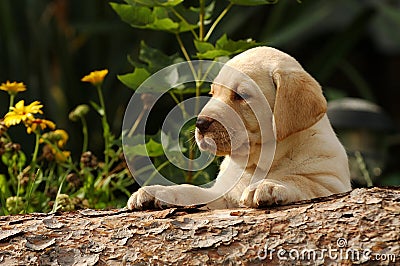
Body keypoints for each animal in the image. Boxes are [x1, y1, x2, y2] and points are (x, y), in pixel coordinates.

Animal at [127, 46, 350, 209]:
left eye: (240, 96)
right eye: (213, 93)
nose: (199, 123)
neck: (259, 162)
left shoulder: (332, 185)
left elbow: (301, 181)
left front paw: (269, 185)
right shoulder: (221, 196)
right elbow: (190, 190)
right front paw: (159, 191)